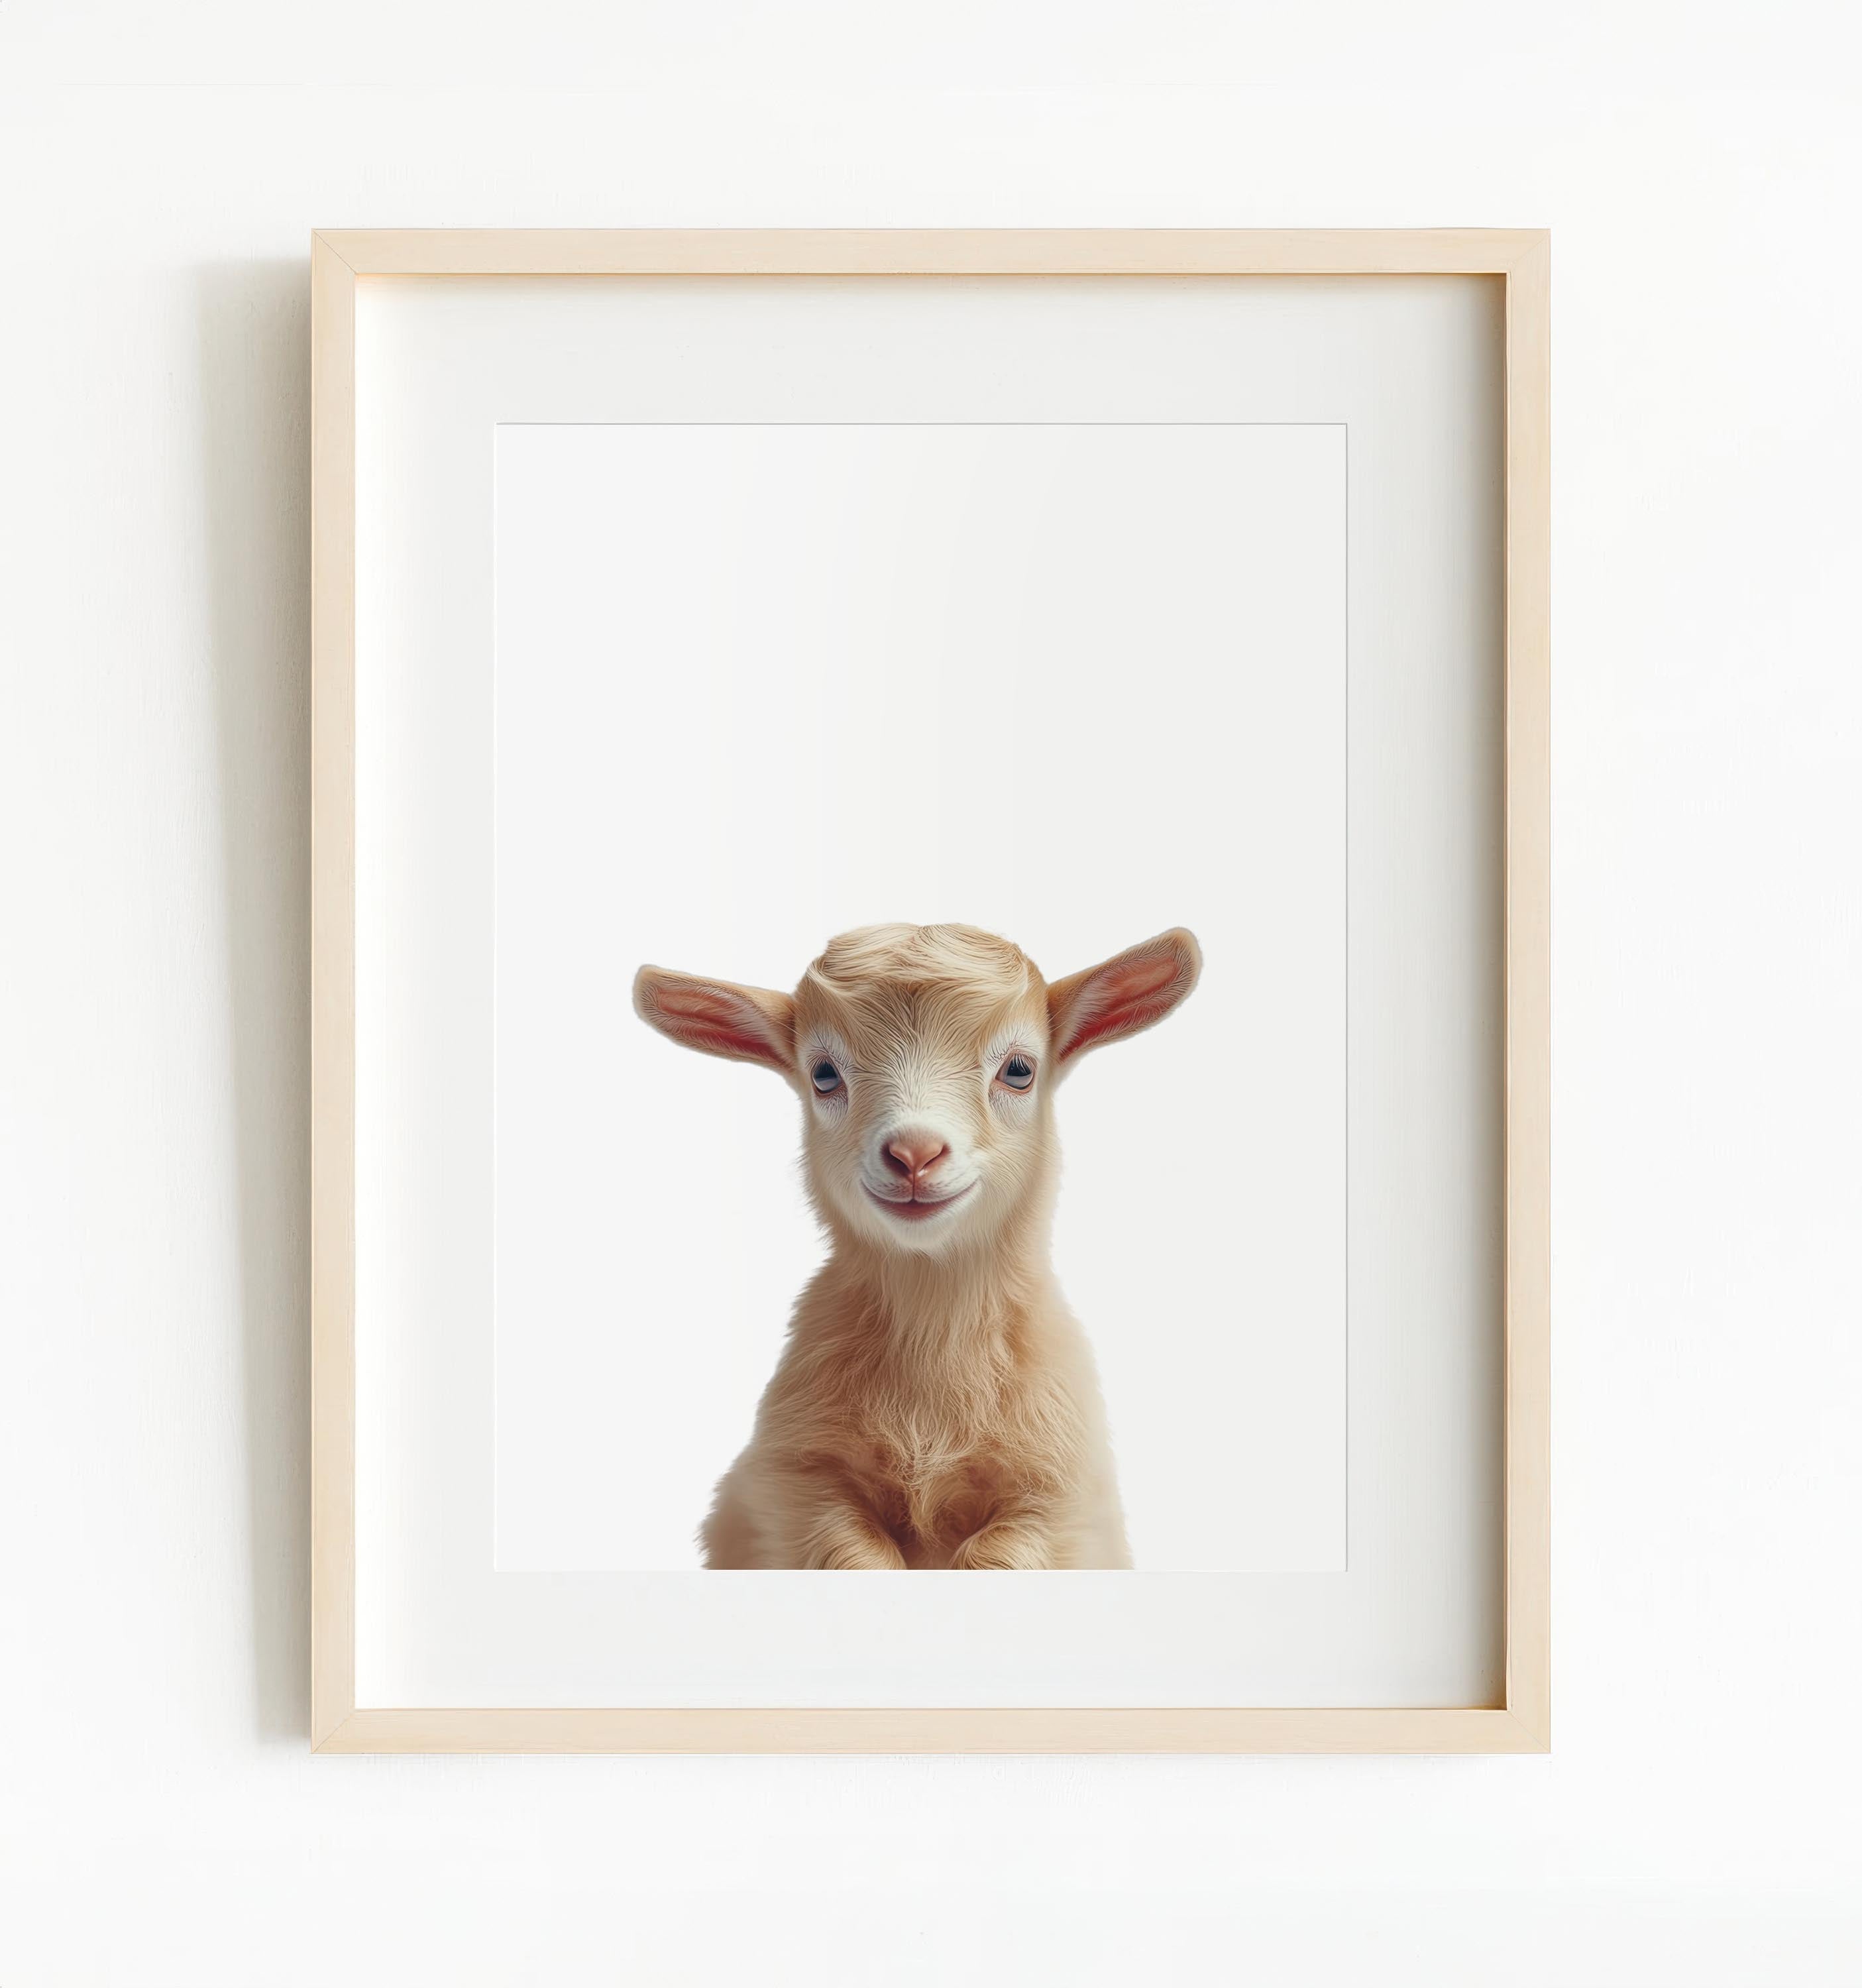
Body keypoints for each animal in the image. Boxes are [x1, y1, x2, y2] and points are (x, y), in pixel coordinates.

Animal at [633, 922, 1201, 1569]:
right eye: (823, 1074)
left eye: (1020, 1070)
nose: (914, 1154)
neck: (934, 1327)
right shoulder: (791, 1488)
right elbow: (847, 1549)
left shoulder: (1062, 1501)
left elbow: (1000, 1553)